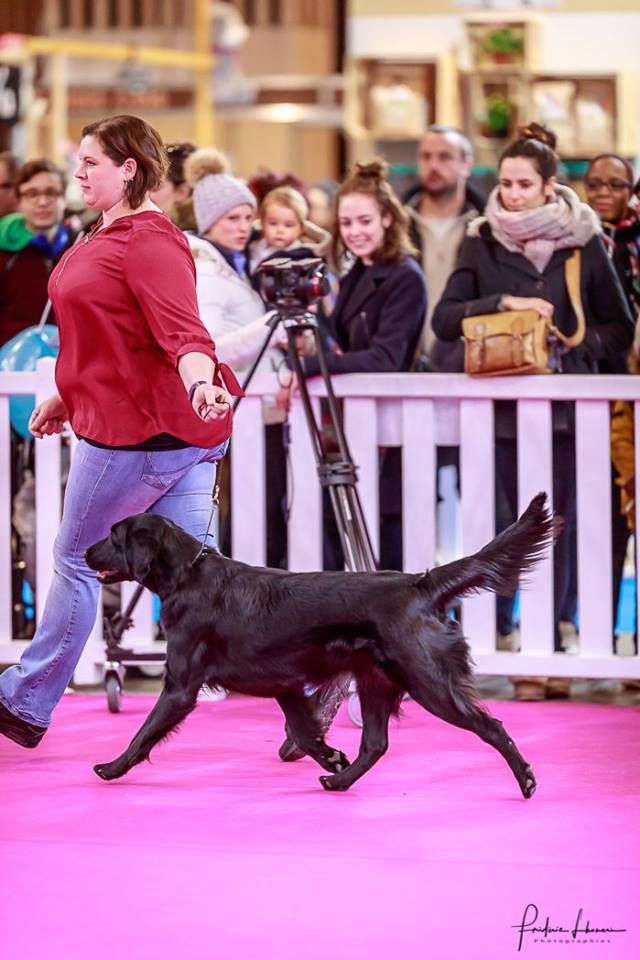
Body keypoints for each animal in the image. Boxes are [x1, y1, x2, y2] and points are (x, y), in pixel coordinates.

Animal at [85, 493, 554, 796]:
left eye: (113, 535)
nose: (86, 552)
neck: (188, 576)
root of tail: (420, 583)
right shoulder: (285, 684)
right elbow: (305, 732)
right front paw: (332, 759)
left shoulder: (181, 685)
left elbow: (144, 733)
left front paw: (111, 768)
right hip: (377, 680)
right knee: (376, 744)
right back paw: (339, 780)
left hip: (428, 681)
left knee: (491, 726)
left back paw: (527, 780)